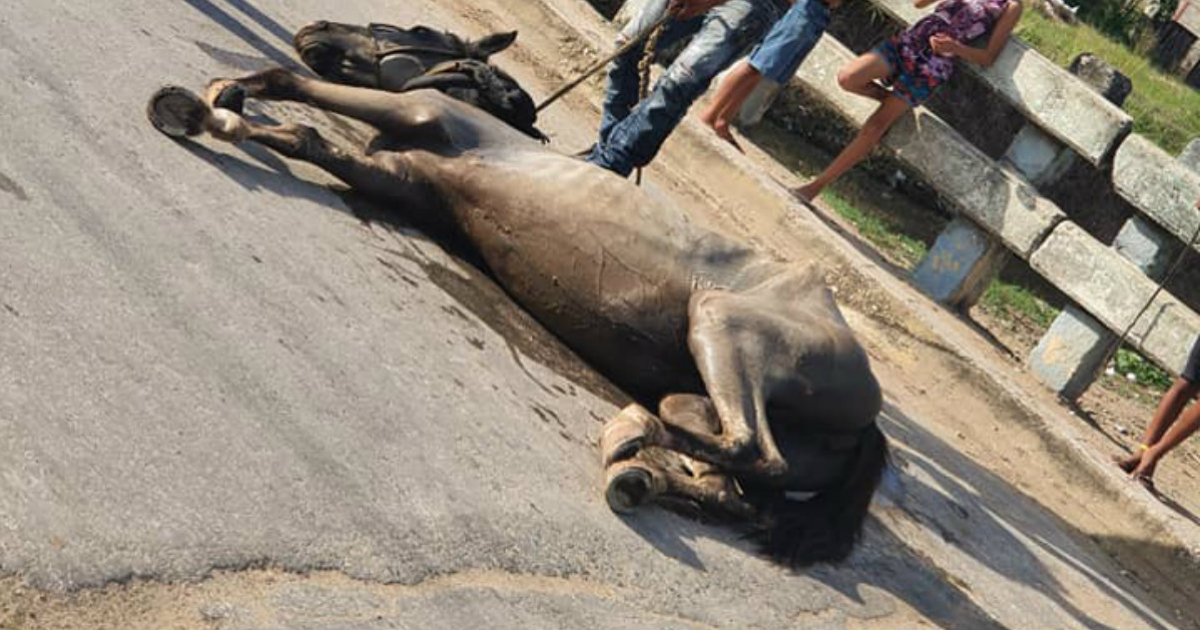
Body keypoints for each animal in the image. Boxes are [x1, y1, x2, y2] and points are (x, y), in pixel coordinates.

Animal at [147, 17, 883, 564]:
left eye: (418, 29)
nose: (315, 27)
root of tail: (869, 415)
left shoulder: (416, 110)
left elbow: (290, 85)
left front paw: (213, 95)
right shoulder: (396, 176)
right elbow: (302, 137)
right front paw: (207, 116)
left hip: (724, 324)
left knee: (754, 451)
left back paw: (631, 434)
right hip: (695, 397)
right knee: (741, 487)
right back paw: (636, 477)